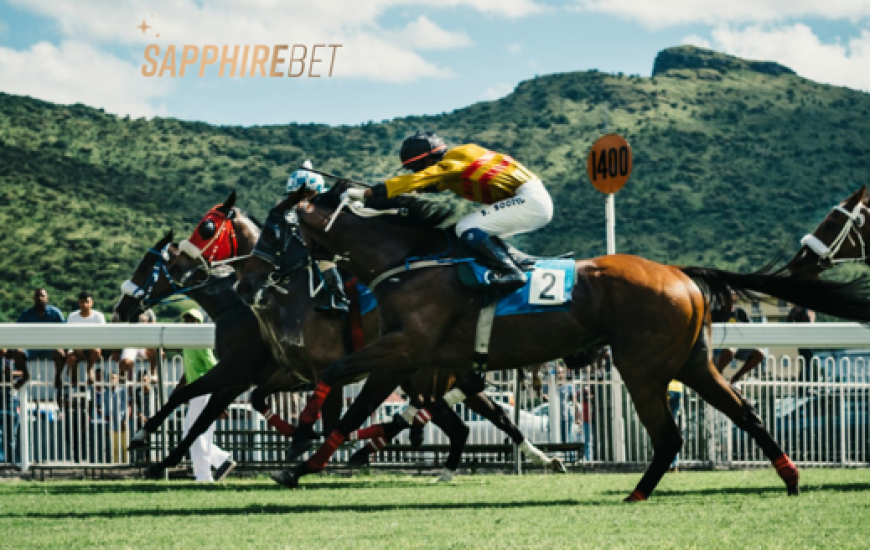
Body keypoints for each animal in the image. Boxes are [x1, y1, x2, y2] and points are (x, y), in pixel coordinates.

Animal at [257, 181, 870, 500]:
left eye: (275, 230)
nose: (260, 273)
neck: (408, 259)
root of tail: (680, 273)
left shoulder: (405, 352)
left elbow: (336, 382)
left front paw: (298, 444)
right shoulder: (409, 360)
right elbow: (356, 406)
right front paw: (302, 462)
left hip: (642, 366)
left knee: (671, 436)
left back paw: (638, 491)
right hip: (692, 363)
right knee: (745, 413)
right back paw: (789, 476)